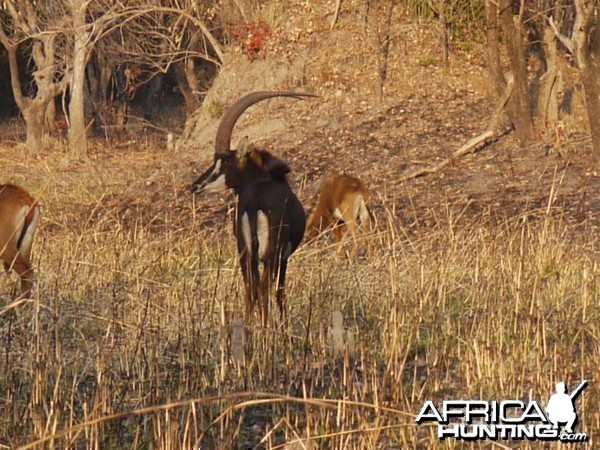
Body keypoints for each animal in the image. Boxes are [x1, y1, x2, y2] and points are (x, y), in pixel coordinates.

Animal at [192, 90, 316, 326]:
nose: (195, 186)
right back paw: (266, 330)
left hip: (245, 252)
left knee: (250, 288)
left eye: (225, 162)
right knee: (264, 288)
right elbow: (280, 291)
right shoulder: (284, 256)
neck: (263, 179)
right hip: (270, 253)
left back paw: (249, 330)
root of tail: (254, 203)